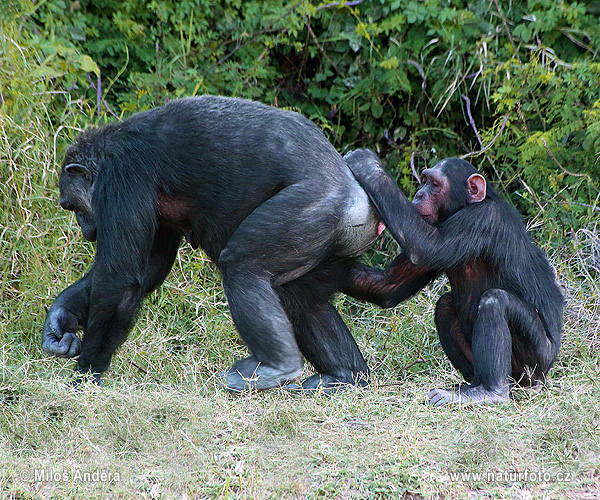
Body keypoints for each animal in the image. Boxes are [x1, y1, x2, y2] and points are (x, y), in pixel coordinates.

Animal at [42, 96, 382, 394]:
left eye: (72, 206)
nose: (84, 227)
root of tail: (362, 201)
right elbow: (150, 270)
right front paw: (60, 318)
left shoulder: (123, 175)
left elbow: (121, 278)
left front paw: (86, 374)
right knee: (297, 297)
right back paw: (342, 375)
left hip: (314, 207)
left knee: (243, 267)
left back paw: (277, 366)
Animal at [342, 149, 564, 406]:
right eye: (424, 181)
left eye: (435, 185)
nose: (419, 194)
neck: (463, 207)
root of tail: (543, 377)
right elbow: (389, 285)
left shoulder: (483, 219)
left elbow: (426, 245)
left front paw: (365, 163)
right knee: (445, 305)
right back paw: (470, 387)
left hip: (537, 360)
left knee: (495, 301)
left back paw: (491, 392)